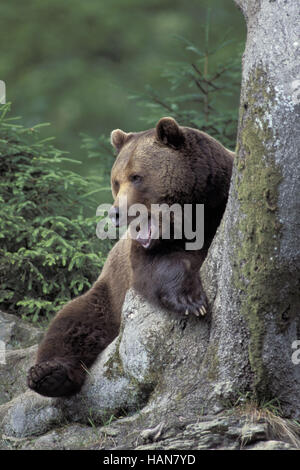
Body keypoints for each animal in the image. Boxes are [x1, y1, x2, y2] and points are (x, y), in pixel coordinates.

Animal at [27, 117, 234, 396]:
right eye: (116, 181)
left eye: (137, 176)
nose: (116, 213)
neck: (191, 215)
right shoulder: (140, 252)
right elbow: (154, 267)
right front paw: (190, 300)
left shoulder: (220, 202)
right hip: (109, 295)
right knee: (71, 323)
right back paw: (47, 374)